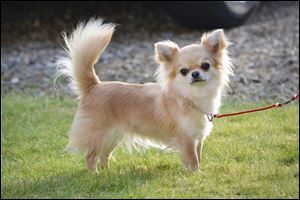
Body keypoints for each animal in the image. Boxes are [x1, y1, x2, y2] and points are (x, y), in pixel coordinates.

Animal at [56, 18, 234, 172]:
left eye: (205, 66)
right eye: (183, 71)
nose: (195, 74)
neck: (191, 97)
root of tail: (94, 86)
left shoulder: (197, 138)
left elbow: (199, 156)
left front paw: (195, 172)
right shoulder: (186, 139)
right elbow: (193, 160)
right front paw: (196, 174)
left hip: (113, 136)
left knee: (103, 155)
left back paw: (107, 173)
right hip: (100, 135)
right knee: (91, 156)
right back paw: (95, 175)